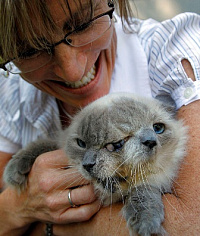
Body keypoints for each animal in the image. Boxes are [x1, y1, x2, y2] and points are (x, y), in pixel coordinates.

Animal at [3, 93, 188, 236]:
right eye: (81, 144)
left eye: (158, 128)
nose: (88, 164)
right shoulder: (60, 143)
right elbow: (44, 145)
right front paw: (15, 171)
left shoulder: (158, 181)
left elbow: (144, 191)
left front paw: (145, 224)